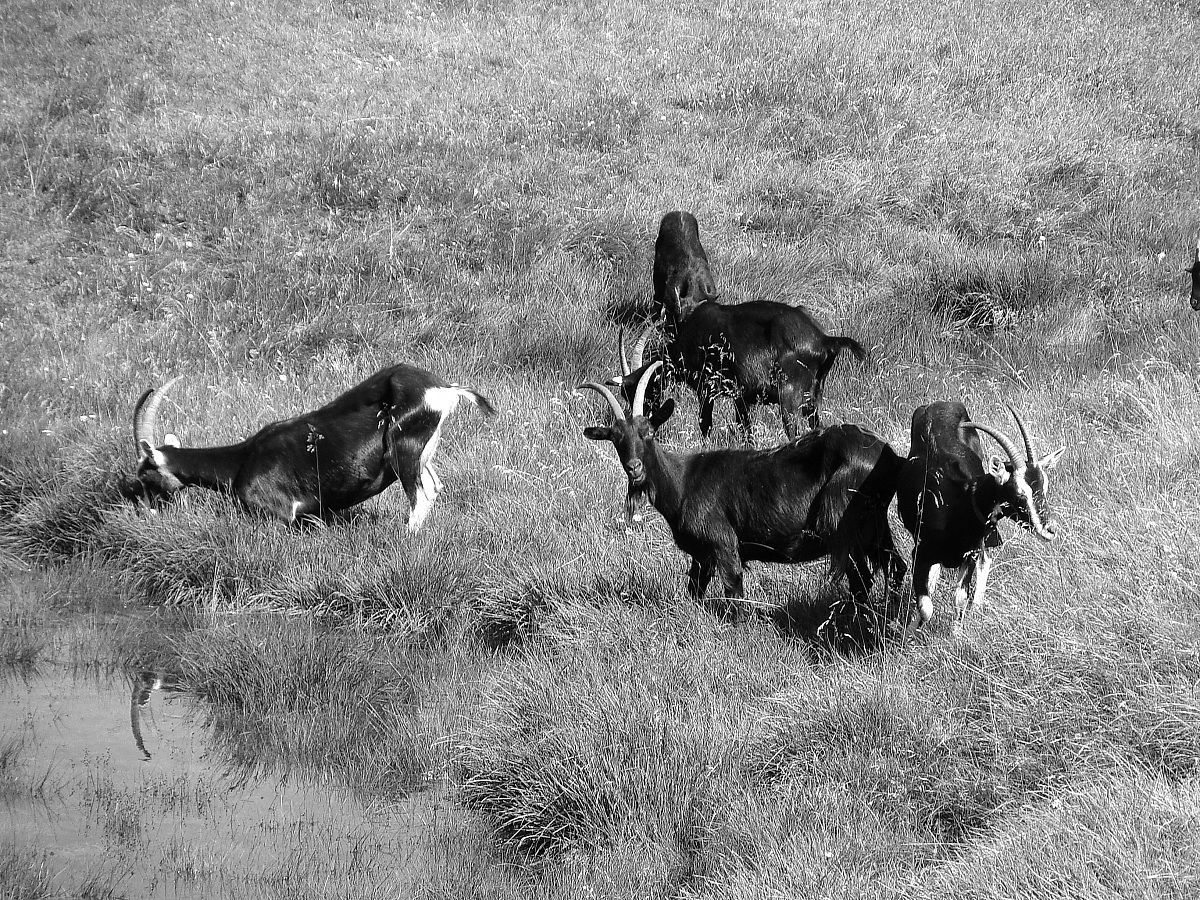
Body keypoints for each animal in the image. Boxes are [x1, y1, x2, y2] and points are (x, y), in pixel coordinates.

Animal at [126, 365, 495, 528]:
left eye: (145, 474)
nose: (143, 511)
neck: (241, 461)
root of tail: (445, 389)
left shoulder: (278, 514)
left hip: (403, 448)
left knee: (421, 495)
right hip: (422, 453)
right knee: (434, 486)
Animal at [580, 364, 906, 616]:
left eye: (648, 432)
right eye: (615, 439)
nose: (634, 468)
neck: (682, 483)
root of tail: (890, 456)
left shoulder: (722, 542)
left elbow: (734, 593)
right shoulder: (702, 555)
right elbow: (694, 591)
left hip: (841, 523)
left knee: (862, 579)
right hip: (874, 525)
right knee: (896, 567)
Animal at [896, 401, 1064, 635]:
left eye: (1044, 488)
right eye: (1019, 494)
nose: (1050, 529)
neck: (957, 507)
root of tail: (939, 405)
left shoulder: (971, 554)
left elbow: (960, 598)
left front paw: (957, 634)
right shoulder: (920, 554)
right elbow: (925, 606)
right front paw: (909, 632)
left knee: (985, 560)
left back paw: (977, 605)